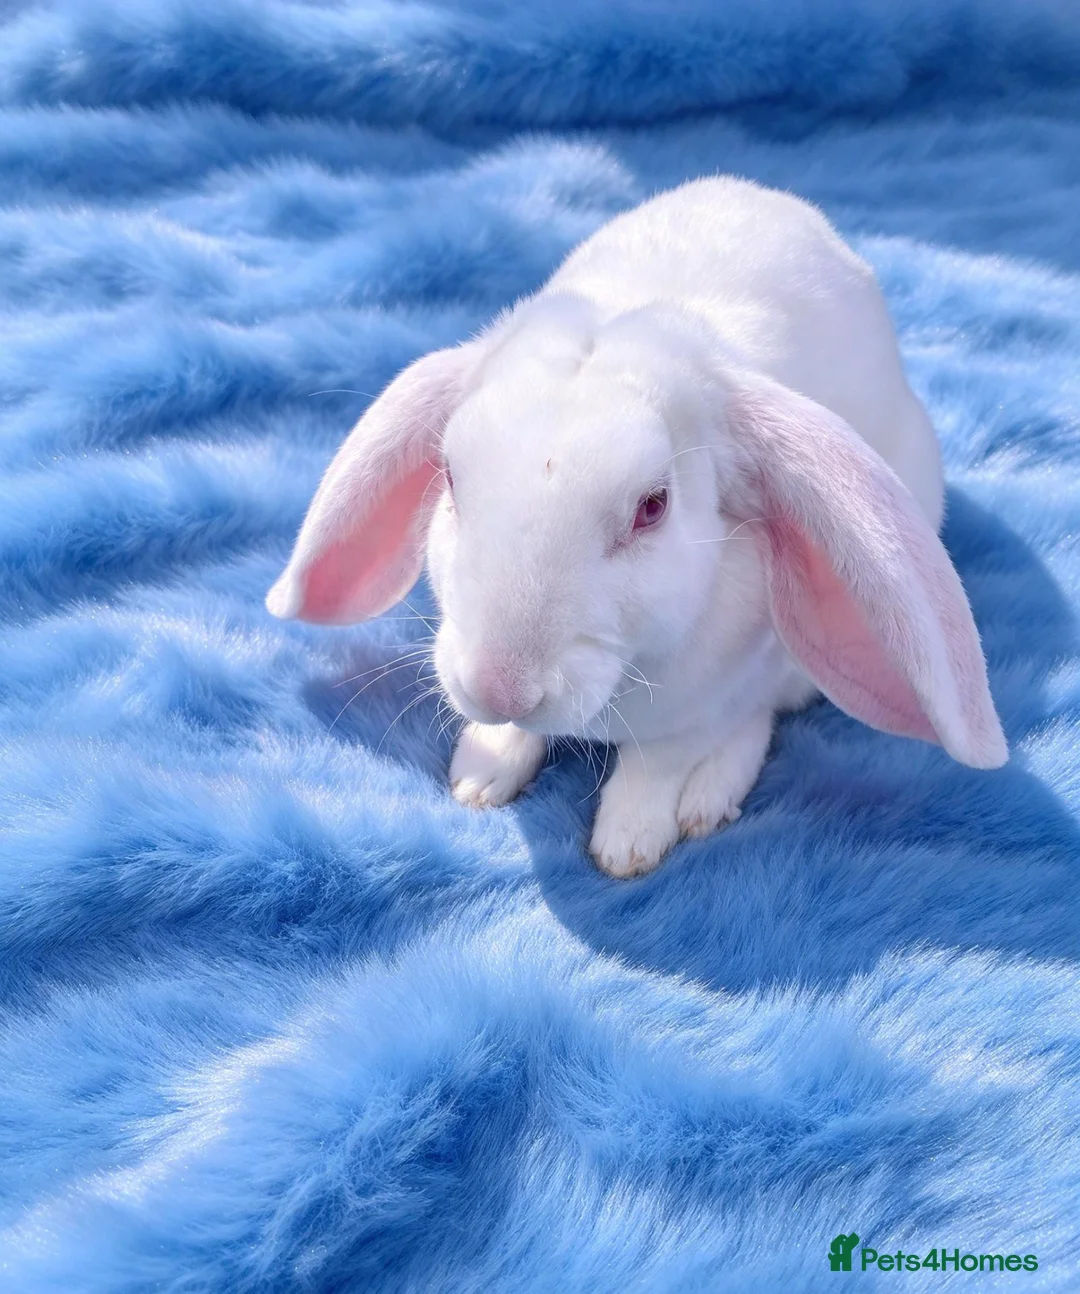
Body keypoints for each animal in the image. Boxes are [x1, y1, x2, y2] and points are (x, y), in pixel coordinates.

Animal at [266, 176, 1007, 878]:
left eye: (653, 506)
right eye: (449, 475)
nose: (498, 687)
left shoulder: (707, 701)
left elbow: (658, 763)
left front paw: (628, 844)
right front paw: (479, 776)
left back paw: (708, 801)